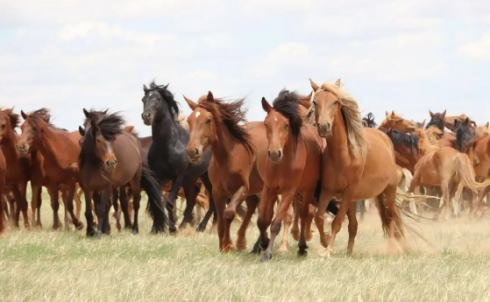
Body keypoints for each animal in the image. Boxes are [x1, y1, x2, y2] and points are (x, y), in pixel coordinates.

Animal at [184, 91, 262, 251]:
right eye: (189, 120)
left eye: (208, 120)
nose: (192, 152)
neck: (227, 157)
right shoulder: (217, 191)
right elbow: (220, 218)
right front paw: (224, 245)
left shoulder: (242, 189)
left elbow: (228, 213)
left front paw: (228, 245)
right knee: (252, 207)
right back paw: (243, 242)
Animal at [308, 77, 408, 255]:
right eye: (315, 101)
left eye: (336, 102)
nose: (324, 127)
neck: (343, 156)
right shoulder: (328, 190)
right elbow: (319, 218)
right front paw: (325, 243)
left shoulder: (348, 192)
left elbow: (337, 221)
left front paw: (329, 250)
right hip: (356, 199)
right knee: (354, 225)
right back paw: (349, 252)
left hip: (389, 191)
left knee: (391, 218)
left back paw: (392, 248)